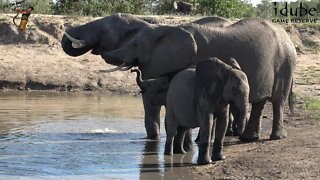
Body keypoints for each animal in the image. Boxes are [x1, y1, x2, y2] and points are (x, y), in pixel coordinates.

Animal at [101, 18, 296, 142]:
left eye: (135, 45)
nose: (102, 52)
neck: (166, 29)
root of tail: (287, 37)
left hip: (285, 63)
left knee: (278, 100)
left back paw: (276, 137)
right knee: (260, 103)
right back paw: (248, 138)